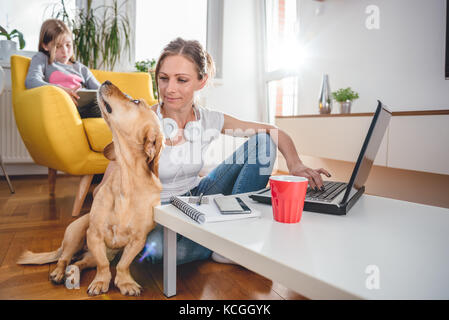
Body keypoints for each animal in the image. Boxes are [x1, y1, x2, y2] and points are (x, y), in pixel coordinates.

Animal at [18, 80, 164, 296]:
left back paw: (72, 275)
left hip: (88, 254)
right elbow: (104, 266)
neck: (125, 183)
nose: (107, 81)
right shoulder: (94, 235)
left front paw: (125, 282)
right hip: (76, 233)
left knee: (77, 263)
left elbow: (123, 264)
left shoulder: (138, 240)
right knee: (64, 258)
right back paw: (59, 274)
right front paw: (101, 281)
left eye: (136, 101)